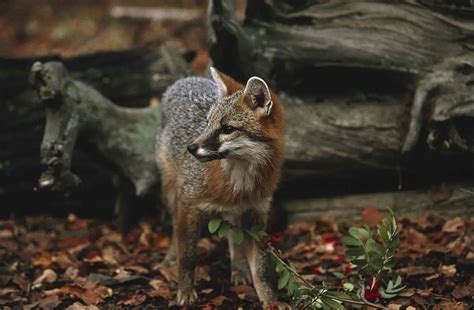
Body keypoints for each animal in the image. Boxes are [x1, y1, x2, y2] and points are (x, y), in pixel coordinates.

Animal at [157, 68, 286, 308]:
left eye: (227, 129)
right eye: (207, 123)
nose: (190, 148)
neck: (240, 182)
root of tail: (187, 79)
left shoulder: (257, 213)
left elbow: (261, 268)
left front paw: (270, 299)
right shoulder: (189, 205)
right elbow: (188, 256)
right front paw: (185, 291)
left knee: (234, 238)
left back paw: (239, 269)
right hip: (170, 192)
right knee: (174, 226)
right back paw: (170, 258)